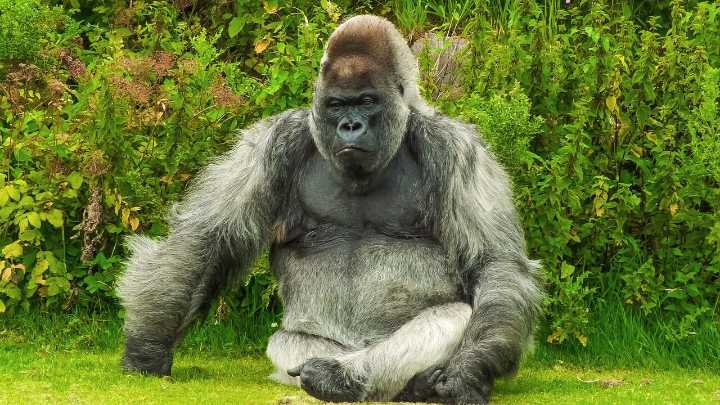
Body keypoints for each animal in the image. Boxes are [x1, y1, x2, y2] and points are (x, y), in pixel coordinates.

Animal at [117, 15, 542, 404]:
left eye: (367, 101)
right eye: (337, 105)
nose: (350, 126)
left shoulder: (458, 150)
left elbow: (493, 265)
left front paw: (470, 369)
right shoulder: (270, 144)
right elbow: (205, 240)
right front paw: (147, 347)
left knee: (455, 316)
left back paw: (350, 378)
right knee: (288, 343)